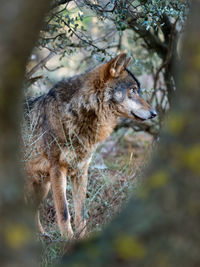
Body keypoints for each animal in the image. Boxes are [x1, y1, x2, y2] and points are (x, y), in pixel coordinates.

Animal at [23, 52, 157, 239]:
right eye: (133, 90)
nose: (154, 113)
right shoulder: (58, 169)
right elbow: (64, 212)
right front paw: (68, 239)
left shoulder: (81, 171)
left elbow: (81, 213)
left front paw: (81, 238)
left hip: (42, 186)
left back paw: (42, 236)